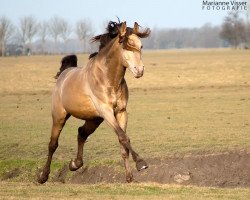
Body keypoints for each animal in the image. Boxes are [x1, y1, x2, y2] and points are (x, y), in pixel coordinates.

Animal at [37, 21, 150, 183]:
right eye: (126, 46)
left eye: (140, 46)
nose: (139, 70)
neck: (108, 79)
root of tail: (63, 75)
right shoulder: (106, 112)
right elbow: (123, 137)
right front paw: (141, 163)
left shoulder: (121, 112)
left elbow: (123, 143)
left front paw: (129, 177)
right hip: (59, 116)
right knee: (53, 144)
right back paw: (43, 176)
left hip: (94, 119)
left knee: (81, 133)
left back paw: (74, 164)